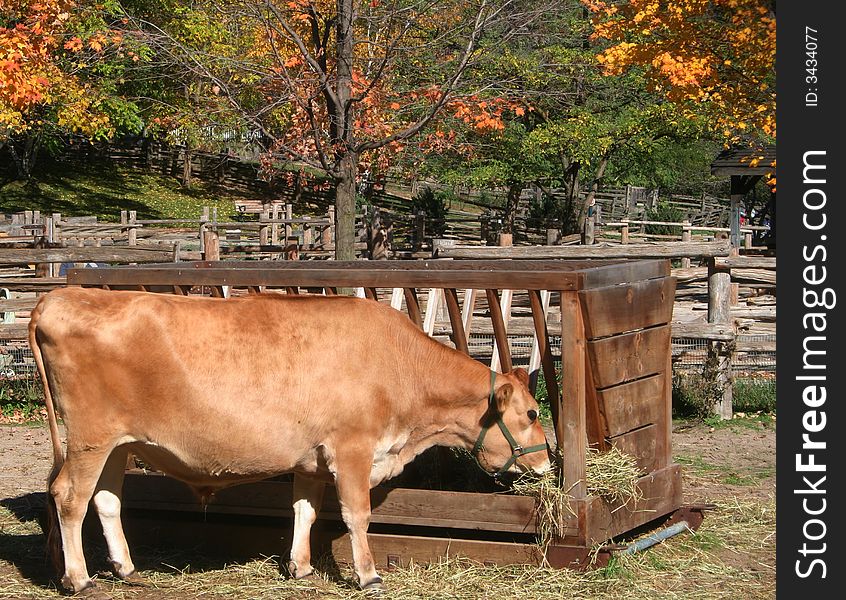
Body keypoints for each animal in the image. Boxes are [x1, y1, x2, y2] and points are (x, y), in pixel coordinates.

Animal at [28, 288, 548, 596]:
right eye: (532, 413)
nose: (546, 462)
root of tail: (62, 294)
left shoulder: (310, 458)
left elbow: (305, 510)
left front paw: (300, 567)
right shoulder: (352, 448)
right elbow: (357, 514)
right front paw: (368, 575)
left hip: (118, 444)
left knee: (106, 500)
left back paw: (126, 568)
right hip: (90, 437)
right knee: (69, 497)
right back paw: (78, 578)